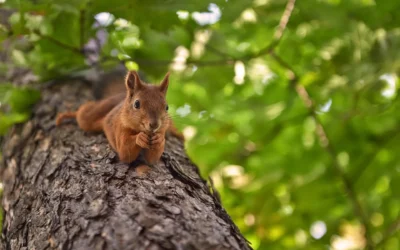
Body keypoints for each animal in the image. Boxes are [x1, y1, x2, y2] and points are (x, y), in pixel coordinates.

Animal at [55, 70, 184, 164]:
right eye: (136, 104)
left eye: (166, 107)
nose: (154, 124)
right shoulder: (120, 127)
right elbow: (125, 151)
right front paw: (140, 138)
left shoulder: (161, 131)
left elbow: (152, 159)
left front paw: (159, 140)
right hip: (93, 114)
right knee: (83, 113)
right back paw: (68, 114)